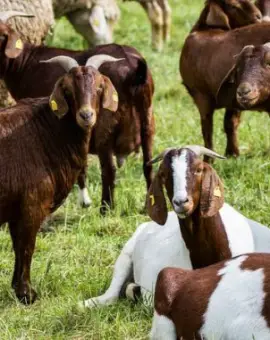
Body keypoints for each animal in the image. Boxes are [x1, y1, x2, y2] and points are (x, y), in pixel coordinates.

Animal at [0, 10, 154, 214]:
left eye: (1, 35)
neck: (24, 63)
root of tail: (135, 71)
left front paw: (84, 200)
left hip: (105, 124)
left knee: (109, 168)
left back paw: (105, 208)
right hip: (148, 120)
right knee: (148, 163)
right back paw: (148, 206)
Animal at [0, 54, 119, 304]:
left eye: (99, 87)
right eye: (67, 90)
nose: (86, 115)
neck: (47, 131)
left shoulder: (17, 209)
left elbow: (17, 246)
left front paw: (17, 288)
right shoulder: (32, 206)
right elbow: (27, 246)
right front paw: (27, 294)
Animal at [179, 0, 268, 159]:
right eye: (232, 5)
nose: (258, 16)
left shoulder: (201, 96)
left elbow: (207, 130)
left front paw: (209, 158)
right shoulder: (233, 96)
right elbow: (230, 123)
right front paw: (232, 154)